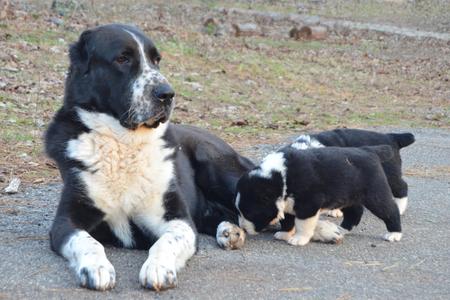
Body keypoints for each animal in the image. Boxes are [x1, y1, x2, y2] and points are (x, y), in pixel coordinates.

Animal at [44, 23, 344, 290]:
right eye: (122, 58)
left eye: (157, 60)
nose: (167, 94)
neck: (123, 143)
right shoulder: (66, 223)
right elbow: (87, 241)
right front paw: (96, 267)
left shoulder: (176, 218)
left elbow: (165, 242)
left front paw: (158, 268)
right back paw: (229, 231)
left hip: (223, 172)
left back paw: (323, 229)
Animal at [234, 145, 402, 246]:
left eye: (249, 213)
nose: (242, 228)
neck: (280, 179)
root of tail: (371, 151)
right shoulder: (287, 204)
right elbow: (287, 221)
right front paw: (285, 233)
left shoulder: (307, 204)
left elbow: (302, 224)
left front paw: (299, 239)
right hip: (348, 195)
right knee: (355, 212)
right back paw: (342, 229)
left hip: (375, 194)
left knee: (390, 210)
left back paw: (394, 234)